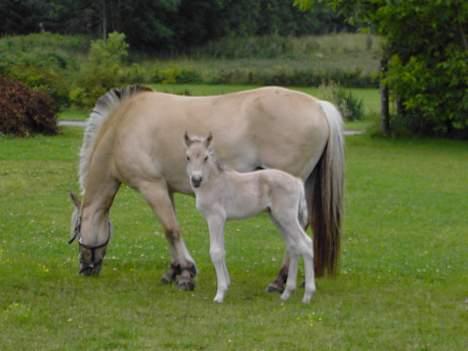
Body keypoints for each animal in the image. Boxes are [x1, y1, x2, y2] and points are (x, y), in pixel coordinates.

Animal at [183, 133, 314, 304]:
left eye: (205, 157)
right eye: (187, 157)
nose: (196, 180)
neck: (213, 182)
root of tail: (296, 181)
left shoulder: (215, 218)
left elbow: (216, 252)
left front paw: (220, 294)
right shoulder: (220, 221)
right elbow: (222, 250)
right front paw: (227, 285)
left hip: (287, 217)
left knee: (306, 244)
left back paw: (308, 295)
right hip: (277, 218)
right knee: (293, 246)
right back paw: (286, 293)